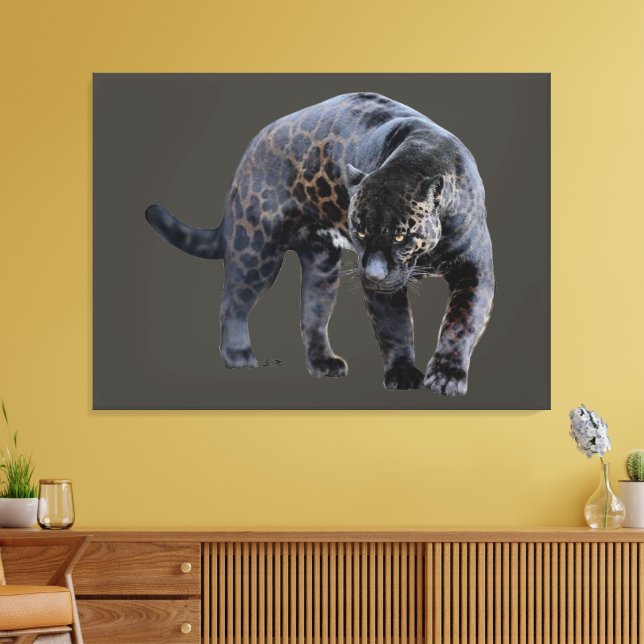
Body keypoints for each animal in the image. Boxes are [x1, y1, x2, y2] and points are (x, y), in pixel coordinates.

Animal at [145, 92, 495, 395]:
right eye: (360, 231)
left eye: (399, 235)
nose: (374, 274)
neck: (418, 156)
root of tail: (250, 150)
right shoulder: (384, 288)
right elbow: (394, 327)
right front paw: (403, 374)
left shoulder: (474, 268)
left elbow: (461, 323)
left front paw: (447, 376)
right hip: (257, 249)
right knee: (233, 300)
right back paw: (238, 355)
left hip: (322, 267)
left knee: (311, 315)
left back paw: (323, 364)